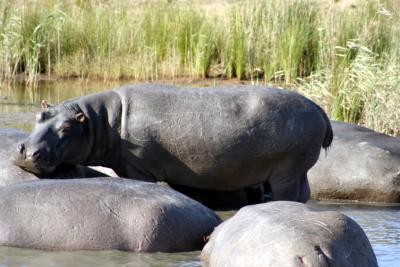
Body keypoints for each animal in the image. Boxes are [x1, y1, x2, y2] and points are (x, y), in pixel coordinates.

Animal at [13, 85, 332, 204]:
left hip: (285, 172)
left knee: (288, 194)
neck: (99, 120)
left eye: (67, 127)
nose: (26, 152)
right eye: (39, 115)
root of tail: (318, 108)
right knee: (305, 193)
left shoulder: (137, 168)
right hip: (299, 171)